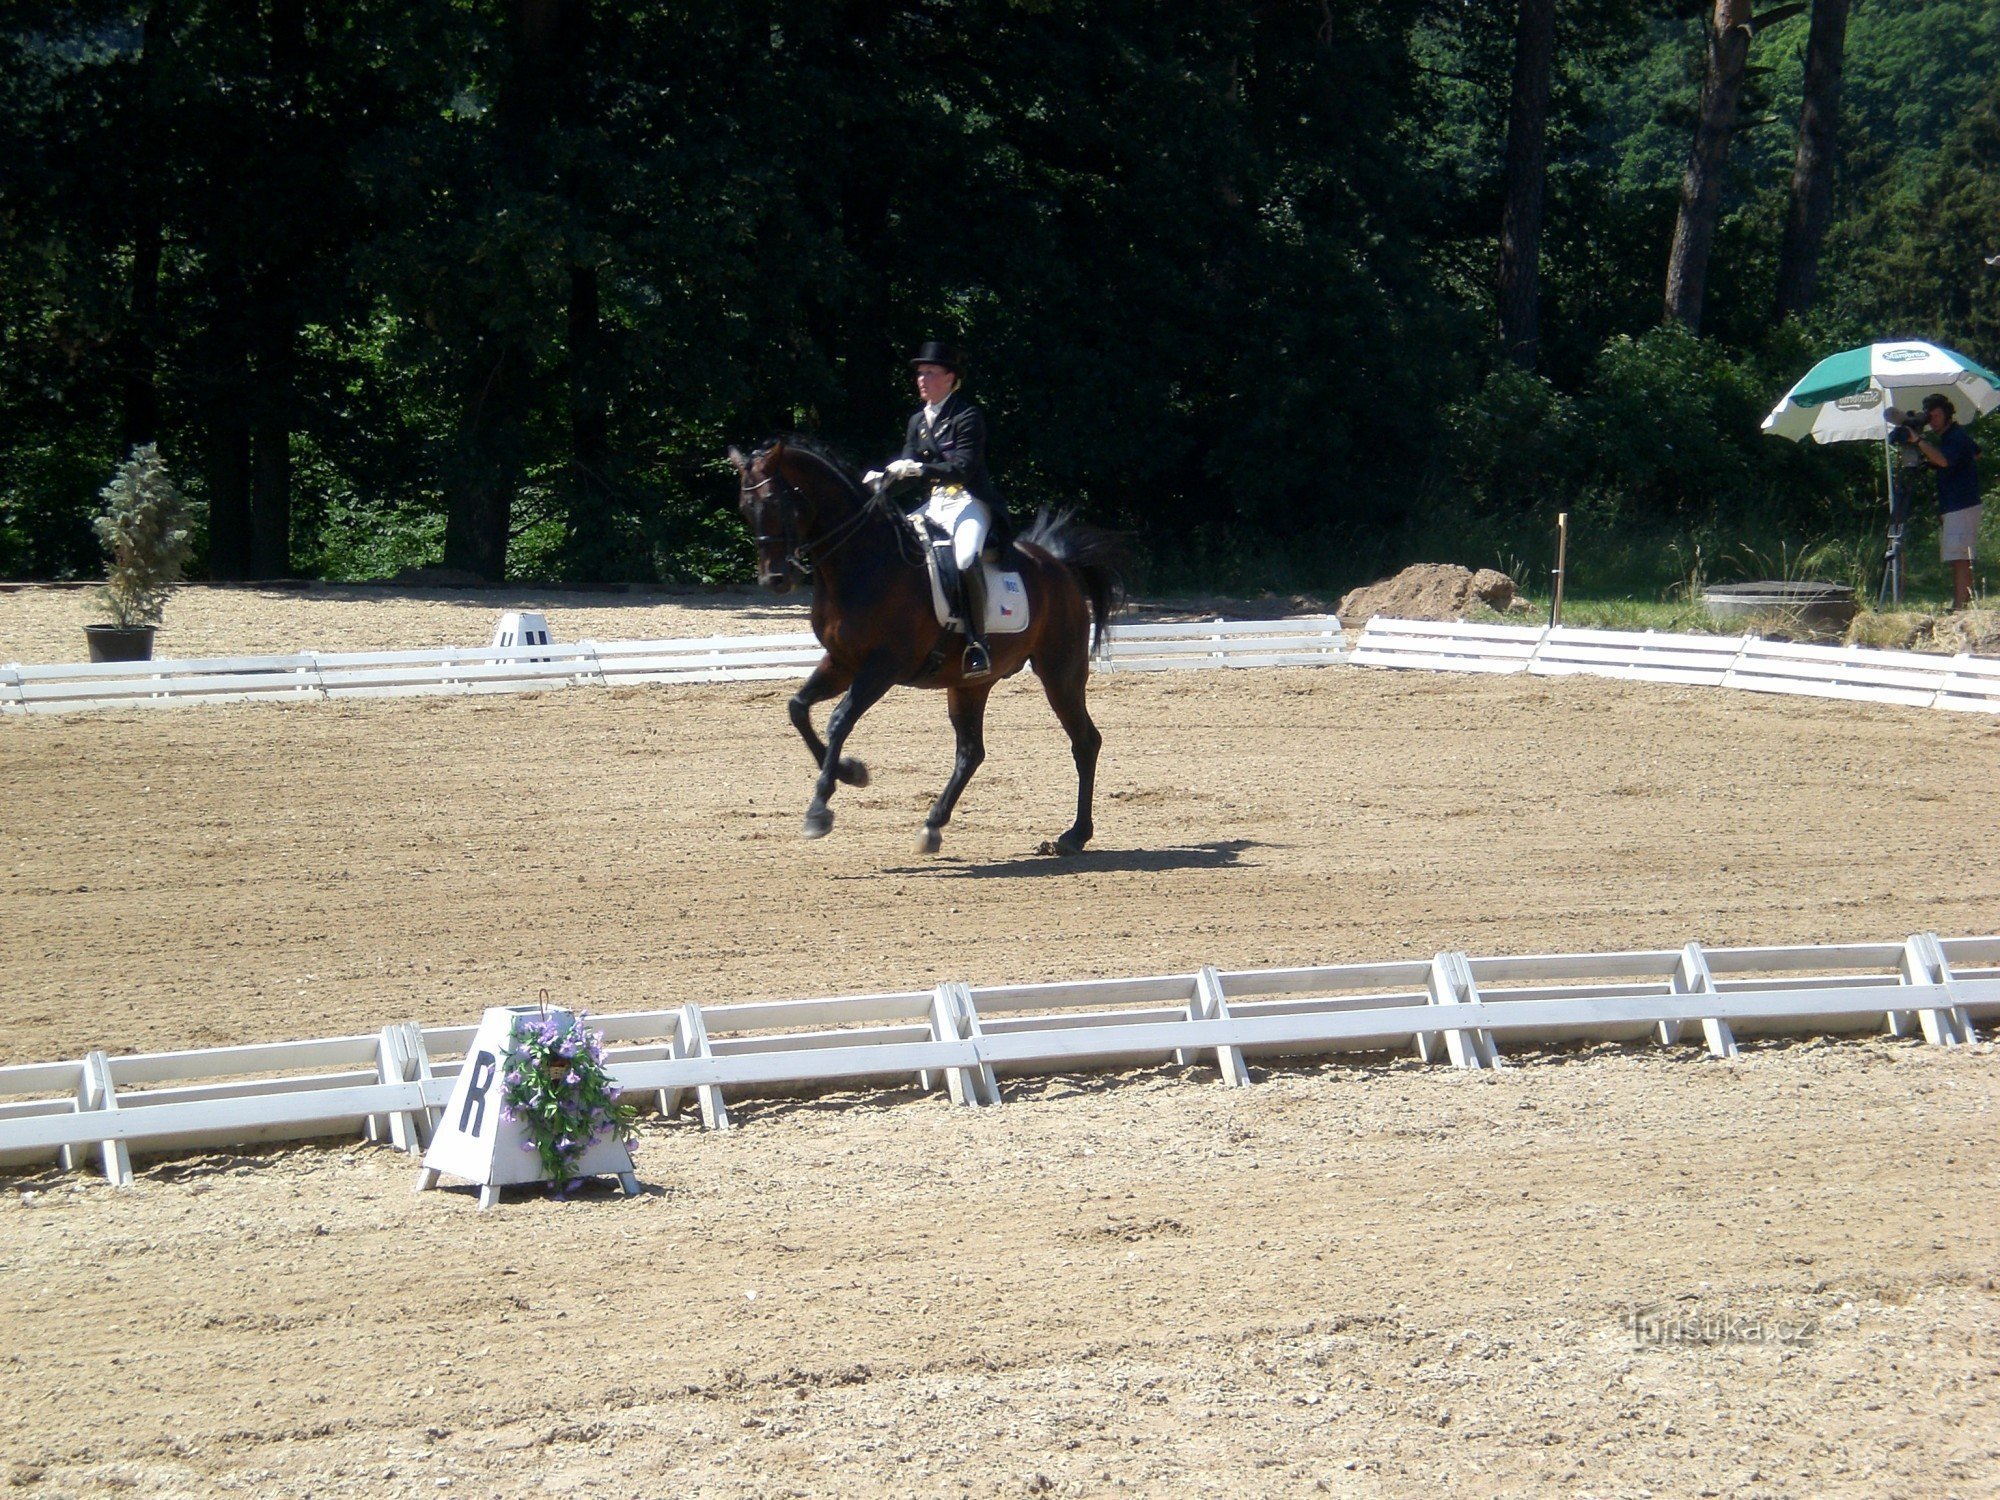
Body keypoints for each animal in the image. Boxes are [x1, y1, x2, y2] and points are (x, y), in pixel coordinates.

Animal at [732, 438, 1128, 856]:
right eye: (745, 507)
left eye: (776, 502)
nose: (774, 580)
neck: (862, 563)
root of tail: (1059, 565)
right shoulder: (842, 661)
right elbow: (798, 709)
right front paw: (852, 772)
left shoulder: (882, 666)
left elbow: (838, 720)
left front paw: (820, 809)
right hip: (970, 684)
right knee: (971, 752)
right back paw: (933, 825)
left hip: (1060, 672)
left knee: (1085, 742)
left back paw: (1075, 835)